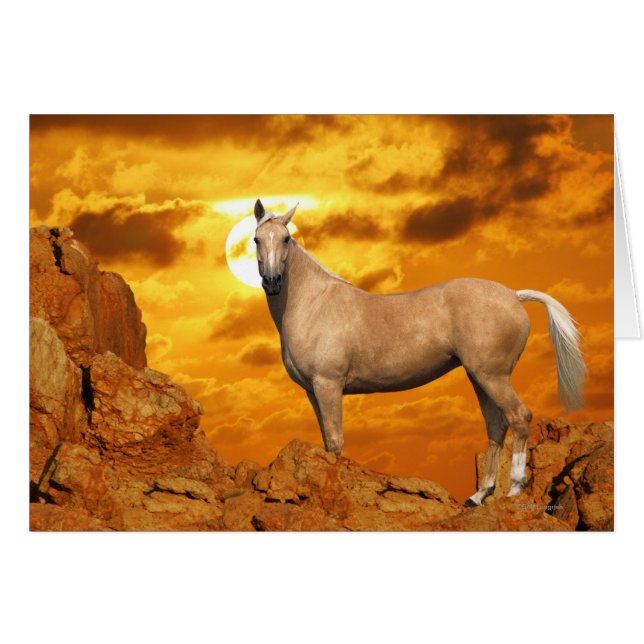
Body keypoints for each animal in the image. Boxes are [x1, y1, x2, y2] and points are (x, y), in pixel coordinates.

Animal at [251, 199, 587, 506]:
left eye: (286, 238)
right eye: (257, 239)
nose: (272, 281)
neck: (313, 304)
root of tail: (513, 295)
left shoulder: (328, 385)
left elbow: (334, 443)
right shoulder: (313, 391)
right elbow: (326, 441)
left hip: (493, 377)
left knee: (519, 417)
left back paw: (514, 489)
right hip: (481, 377)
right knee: (496, 425)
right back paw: (479, 495)